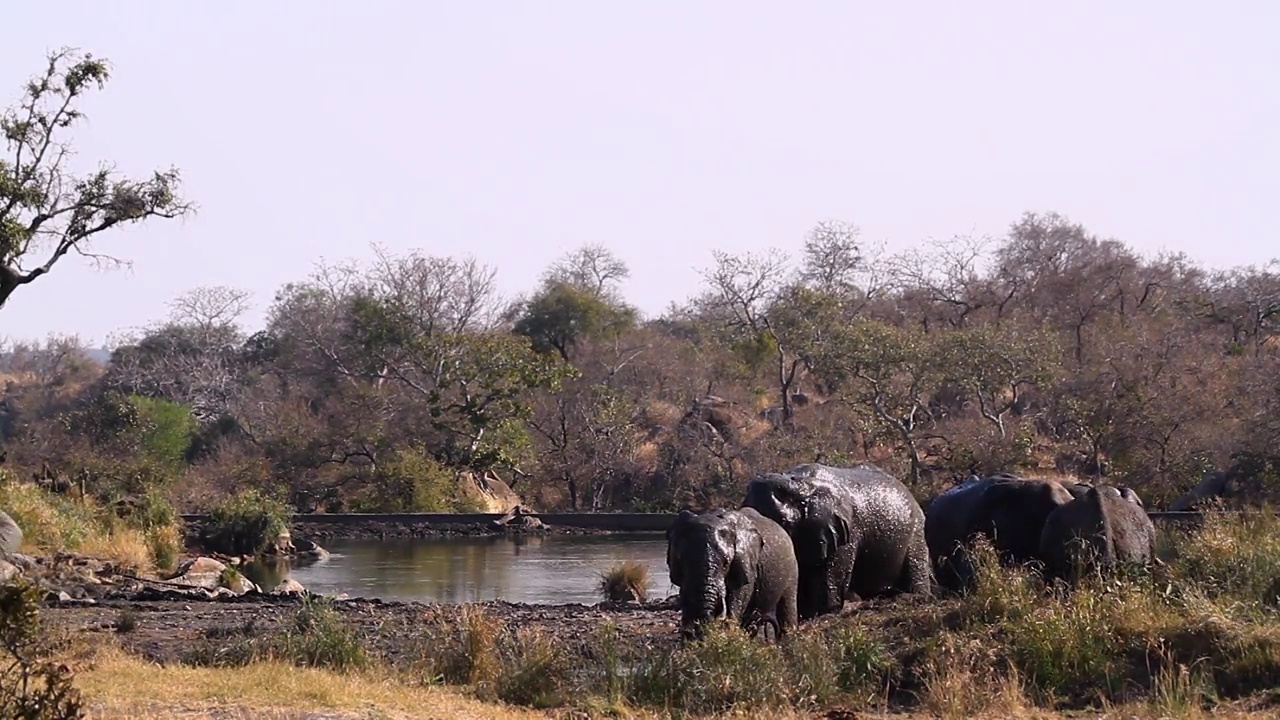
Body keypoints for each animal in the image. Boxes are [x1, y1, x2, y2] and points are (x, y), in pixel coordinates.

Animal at [742, 461, 931, 620]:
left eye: (784, 522)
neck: (801, 486)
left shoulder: (846, 530)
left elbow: (830, 574)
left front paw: (822, 614)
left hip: (917, 530)